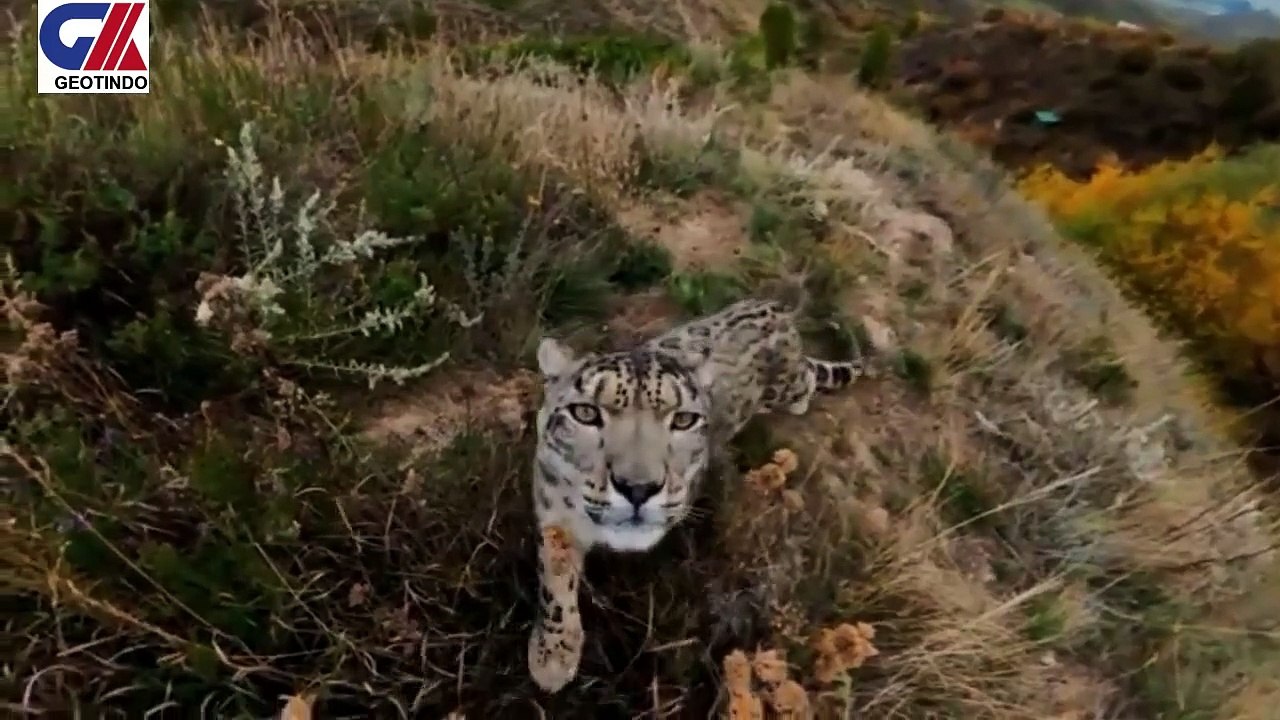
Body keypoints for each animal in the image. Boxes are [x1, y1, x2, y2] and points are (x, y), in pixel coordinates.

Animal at [526, 297, 864, 693]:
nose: (638, 487)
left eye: (684, 420)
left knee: (806, 377)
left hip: (789, 383)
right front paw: (553, 655)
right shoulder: (552, 506)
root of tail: (773, 305)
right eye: (585, 412)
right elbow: (554, 581)